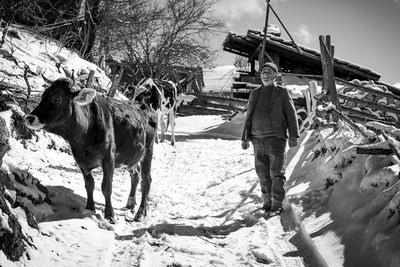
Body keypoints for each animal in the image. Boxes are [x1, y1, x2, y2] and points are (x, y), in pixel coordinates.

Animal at [24, 78, 159, 224]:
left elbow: (106, 187)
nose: (29, 118)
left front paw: (110, 215)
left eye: (57, 98)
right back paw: (130, 203)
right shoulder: (81, 160)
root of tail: (143, 104)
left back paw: (140, 213)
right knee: (135, 175)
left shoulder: (109, 158)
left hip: (148, 150)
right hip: (130, 157)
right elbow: (89, 184)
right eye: (43, 96)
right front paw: (90, 208)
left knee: (146, 181)